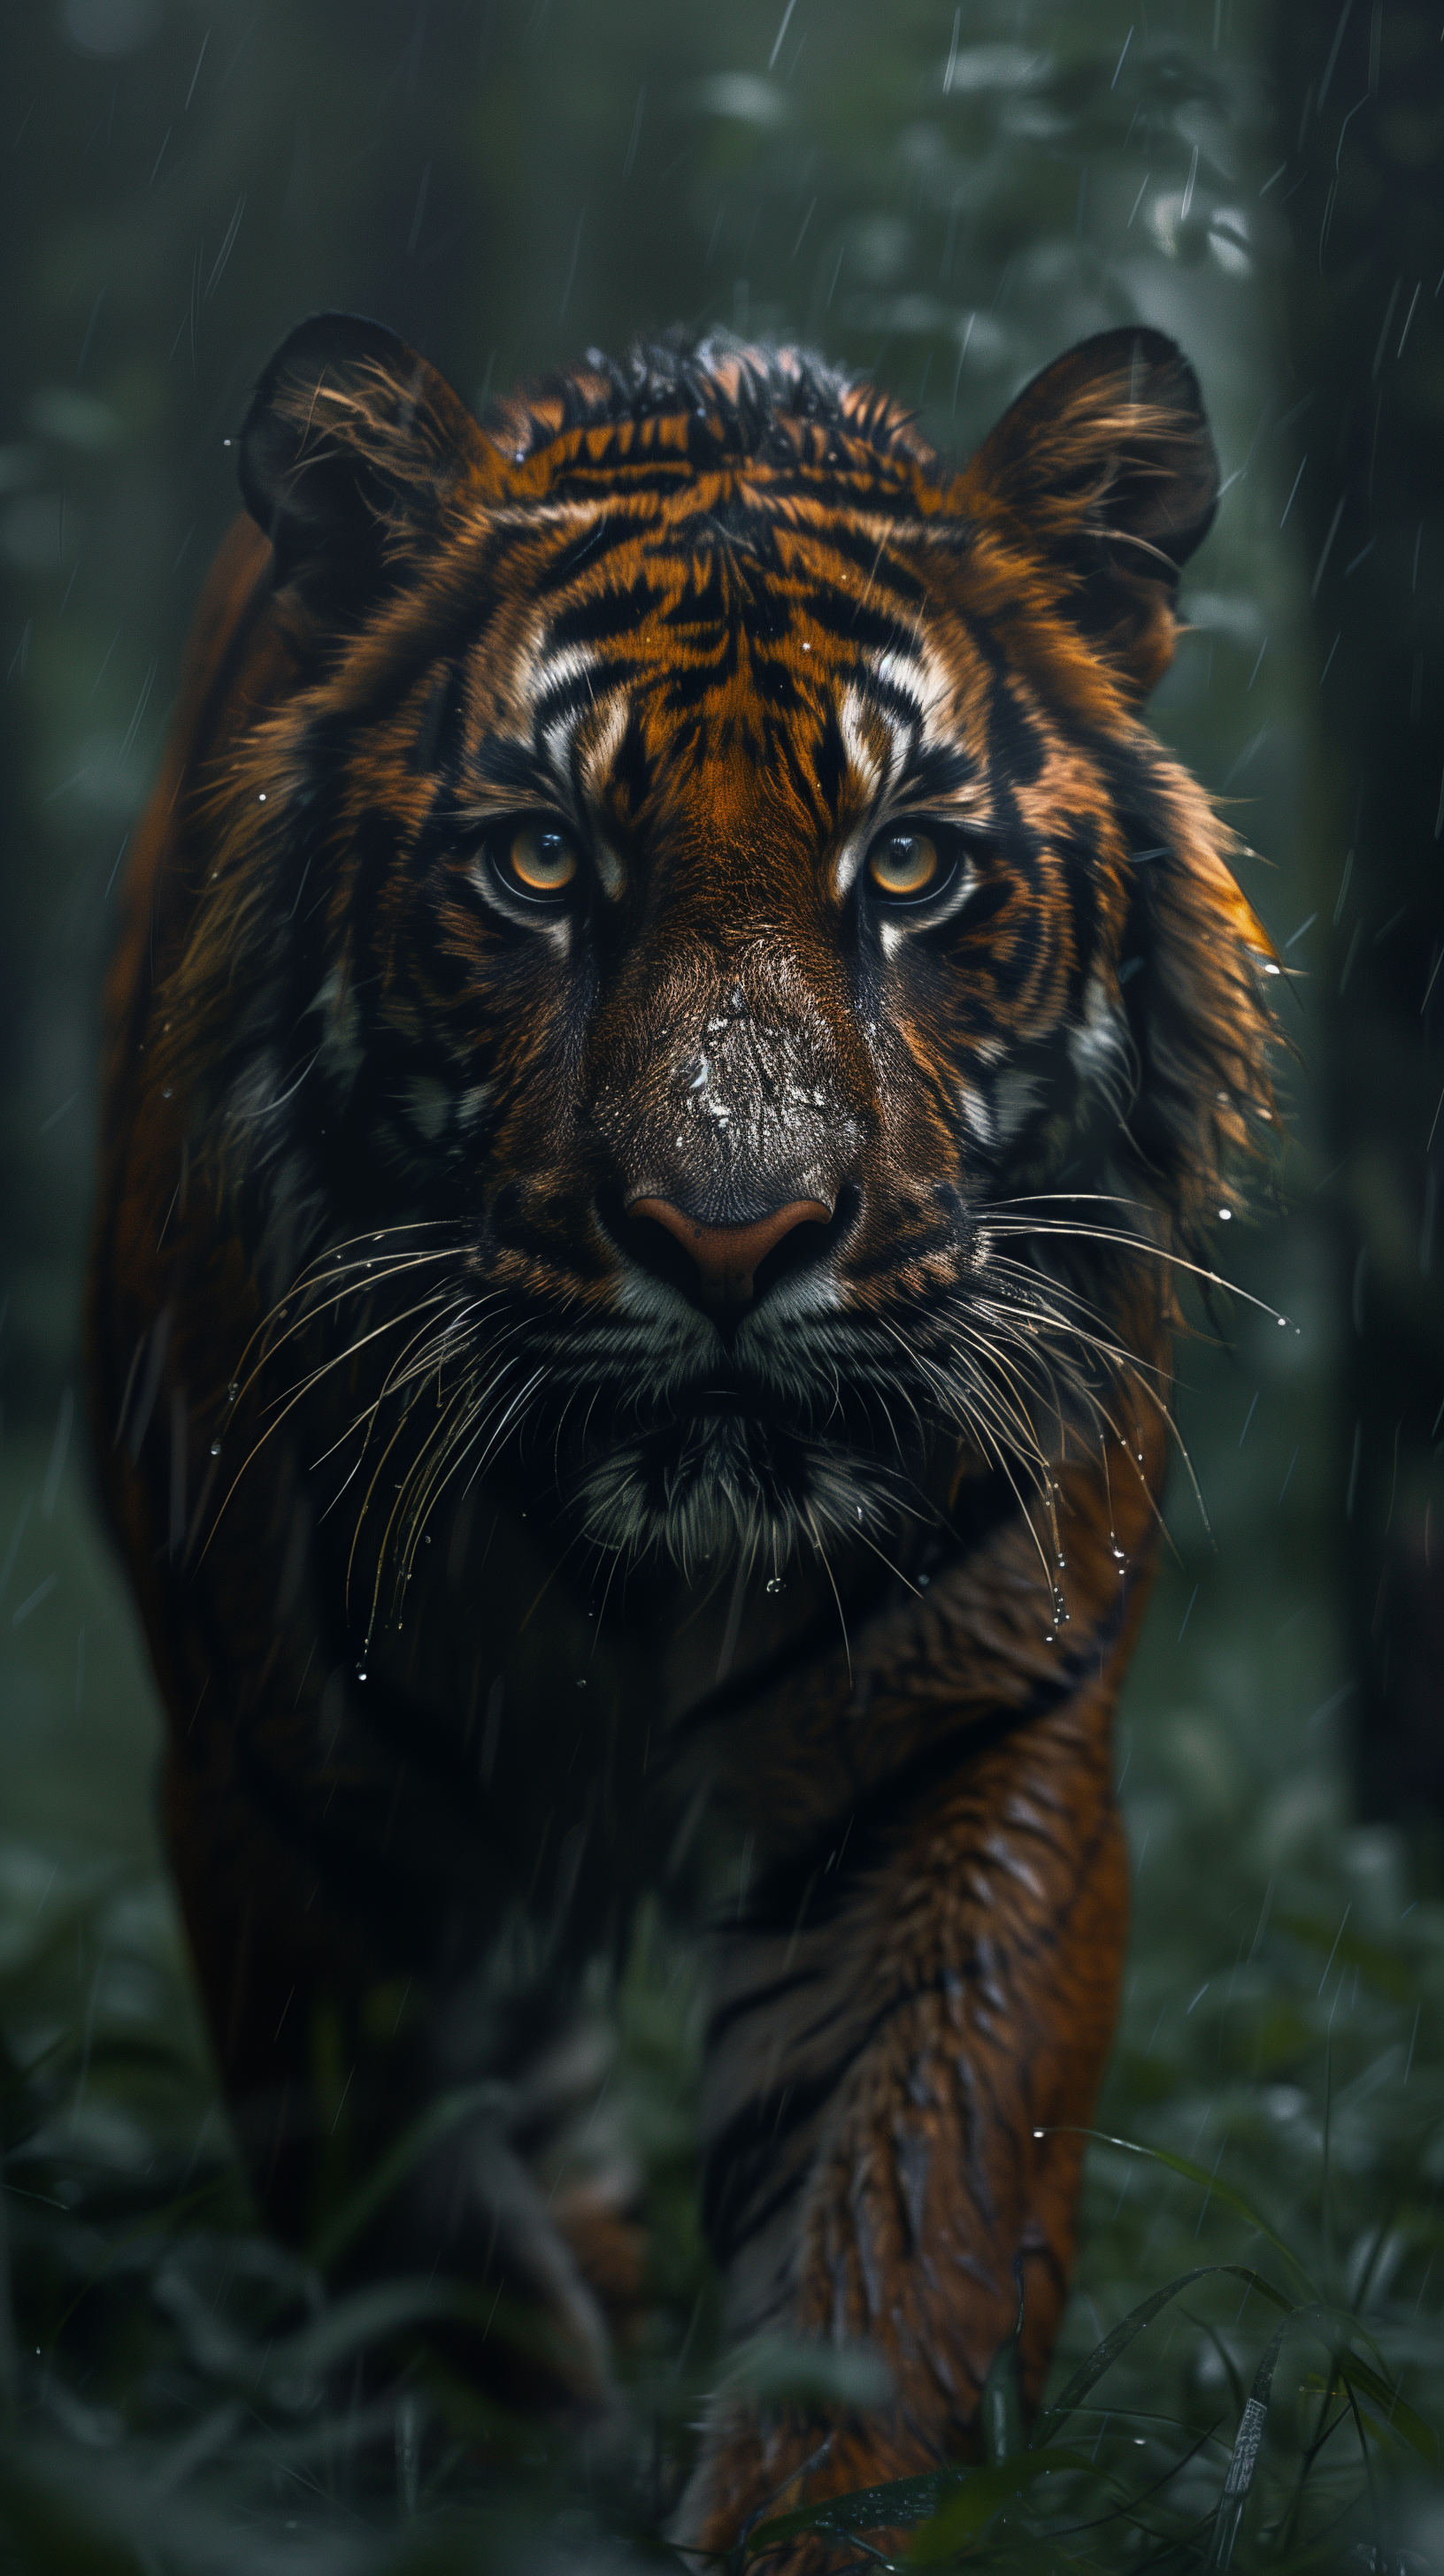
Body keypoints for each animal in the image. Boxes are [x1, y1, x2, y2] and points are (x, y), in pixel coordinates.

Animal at [88, 310, 1275, 2560]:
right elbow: (421, 2230)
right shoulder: (287, 1788)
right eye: (542, 862)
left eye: (910, 865)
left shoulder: (959, 1761)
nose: (733, 1236)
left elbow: (904, 2242)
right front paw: (501, 2484)